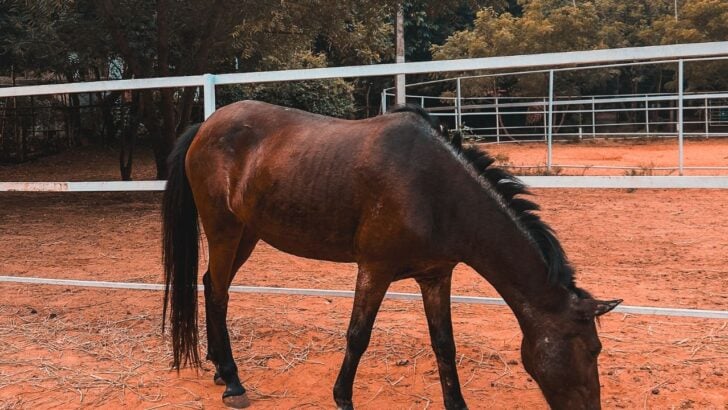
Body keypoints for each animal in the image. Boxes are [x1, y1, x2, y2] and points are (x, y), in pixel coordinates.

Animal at [161, 100, 621, 409]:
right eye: (592, 349)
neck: (436, 191)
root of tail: (206, 125)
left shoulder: (435, 275)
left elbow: (444, 344)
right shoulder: (374, 269)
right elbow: (358, 336)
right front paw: (342, 398)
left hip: (247, 235)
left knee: (210, 285)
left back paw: (219, 367)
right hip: (224, 230)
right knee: (218, 291)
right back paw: (233, 383)